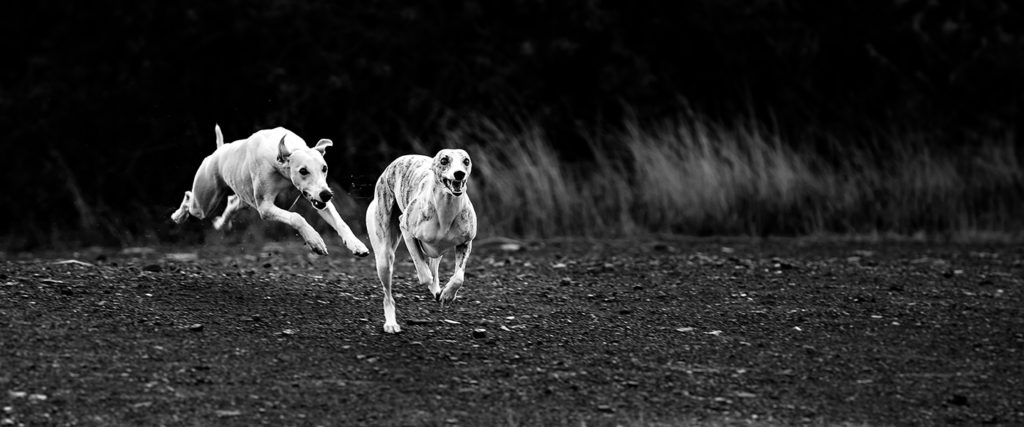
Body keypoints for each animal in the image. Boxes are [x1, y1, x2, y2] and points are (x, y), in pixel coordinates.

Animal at [172, 123, 372, 255]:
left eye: (324, 168)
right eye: (303, 170)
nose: (327, 194)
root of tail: (218, 151)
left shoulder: (317, 199)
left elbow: (341, 222)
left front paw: (356, 245)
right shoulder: (265, 208)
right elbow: (296, 217)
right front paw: (315, 241)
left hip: (242, 200)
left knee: (232, 202)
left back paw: (222, 223)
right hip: (203, 203)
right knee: (190, 198)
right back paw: (178, 215)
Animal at [366, 149, 477, 331]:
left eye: (466, 161)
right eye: (444, 160)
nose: (459, 174)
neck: (446, 209)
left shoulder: (465, 243)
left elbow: (458, 277)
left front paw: (447, 294)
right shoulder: (407, 230)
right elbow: (423, 272)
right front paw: (433, 285)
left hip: (437, 253)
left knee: (434, 268)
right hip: (384, 258)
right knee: (388, 295)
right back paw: (391, 323)